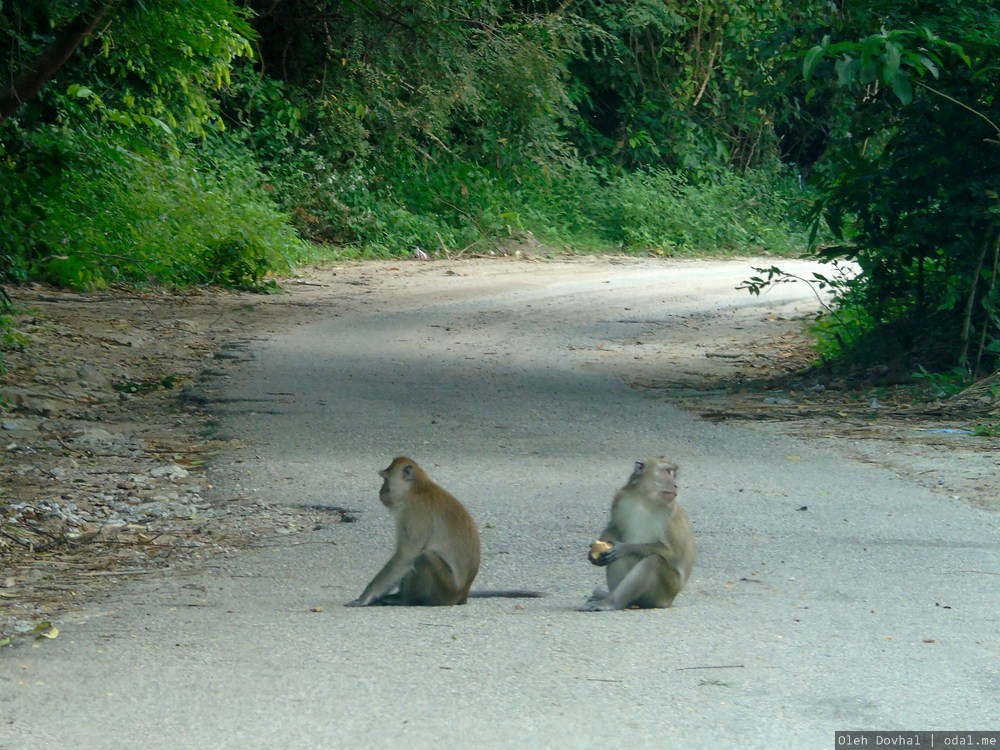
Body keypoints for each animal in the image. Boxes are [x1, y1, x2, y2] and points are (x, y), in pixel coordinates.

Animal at [346, 456, 548, 608]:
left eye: (385, 479)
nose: (380, 492)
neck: (418, 489)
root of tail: (463, 594)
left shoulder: (414, 514)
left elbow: (406, 556)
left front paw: (365, 597)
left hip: (445, 588)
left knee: (423, 557)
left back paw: (407, 600)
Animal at [580, 458, 696, 612]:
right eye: (668, 472)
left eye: (673, 473)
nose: (675, 485)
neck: (645, 499)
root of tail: (669, 600)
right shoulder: (621, 498)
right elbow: (614, 528)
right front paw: (597, 551)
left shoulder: (670, 514)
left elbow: (674, 553)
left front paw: (625, 548)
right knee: (616, 559)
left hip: (664, 591)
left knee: (653, 561)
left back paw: (612, 602)